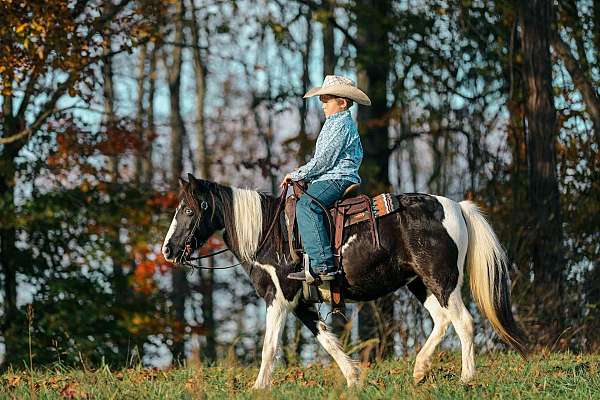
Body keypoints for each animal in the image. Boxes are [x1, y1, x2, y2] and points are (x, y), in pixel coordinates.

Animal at [162, 174, 528, 388]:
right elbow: (327, 340)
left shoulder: (279, 298)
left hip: (442, 279)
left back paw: (467, 378)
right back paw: (419, 370)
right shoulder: (301, 303)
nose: (168, 250)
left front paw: (258, 388)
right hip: (420, 282)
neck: (269, 233)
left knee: (463, 322)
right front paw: (353, 378)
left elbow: (270, 347)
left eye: (189, 211)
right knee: (442, 321)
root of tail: (455, 207)